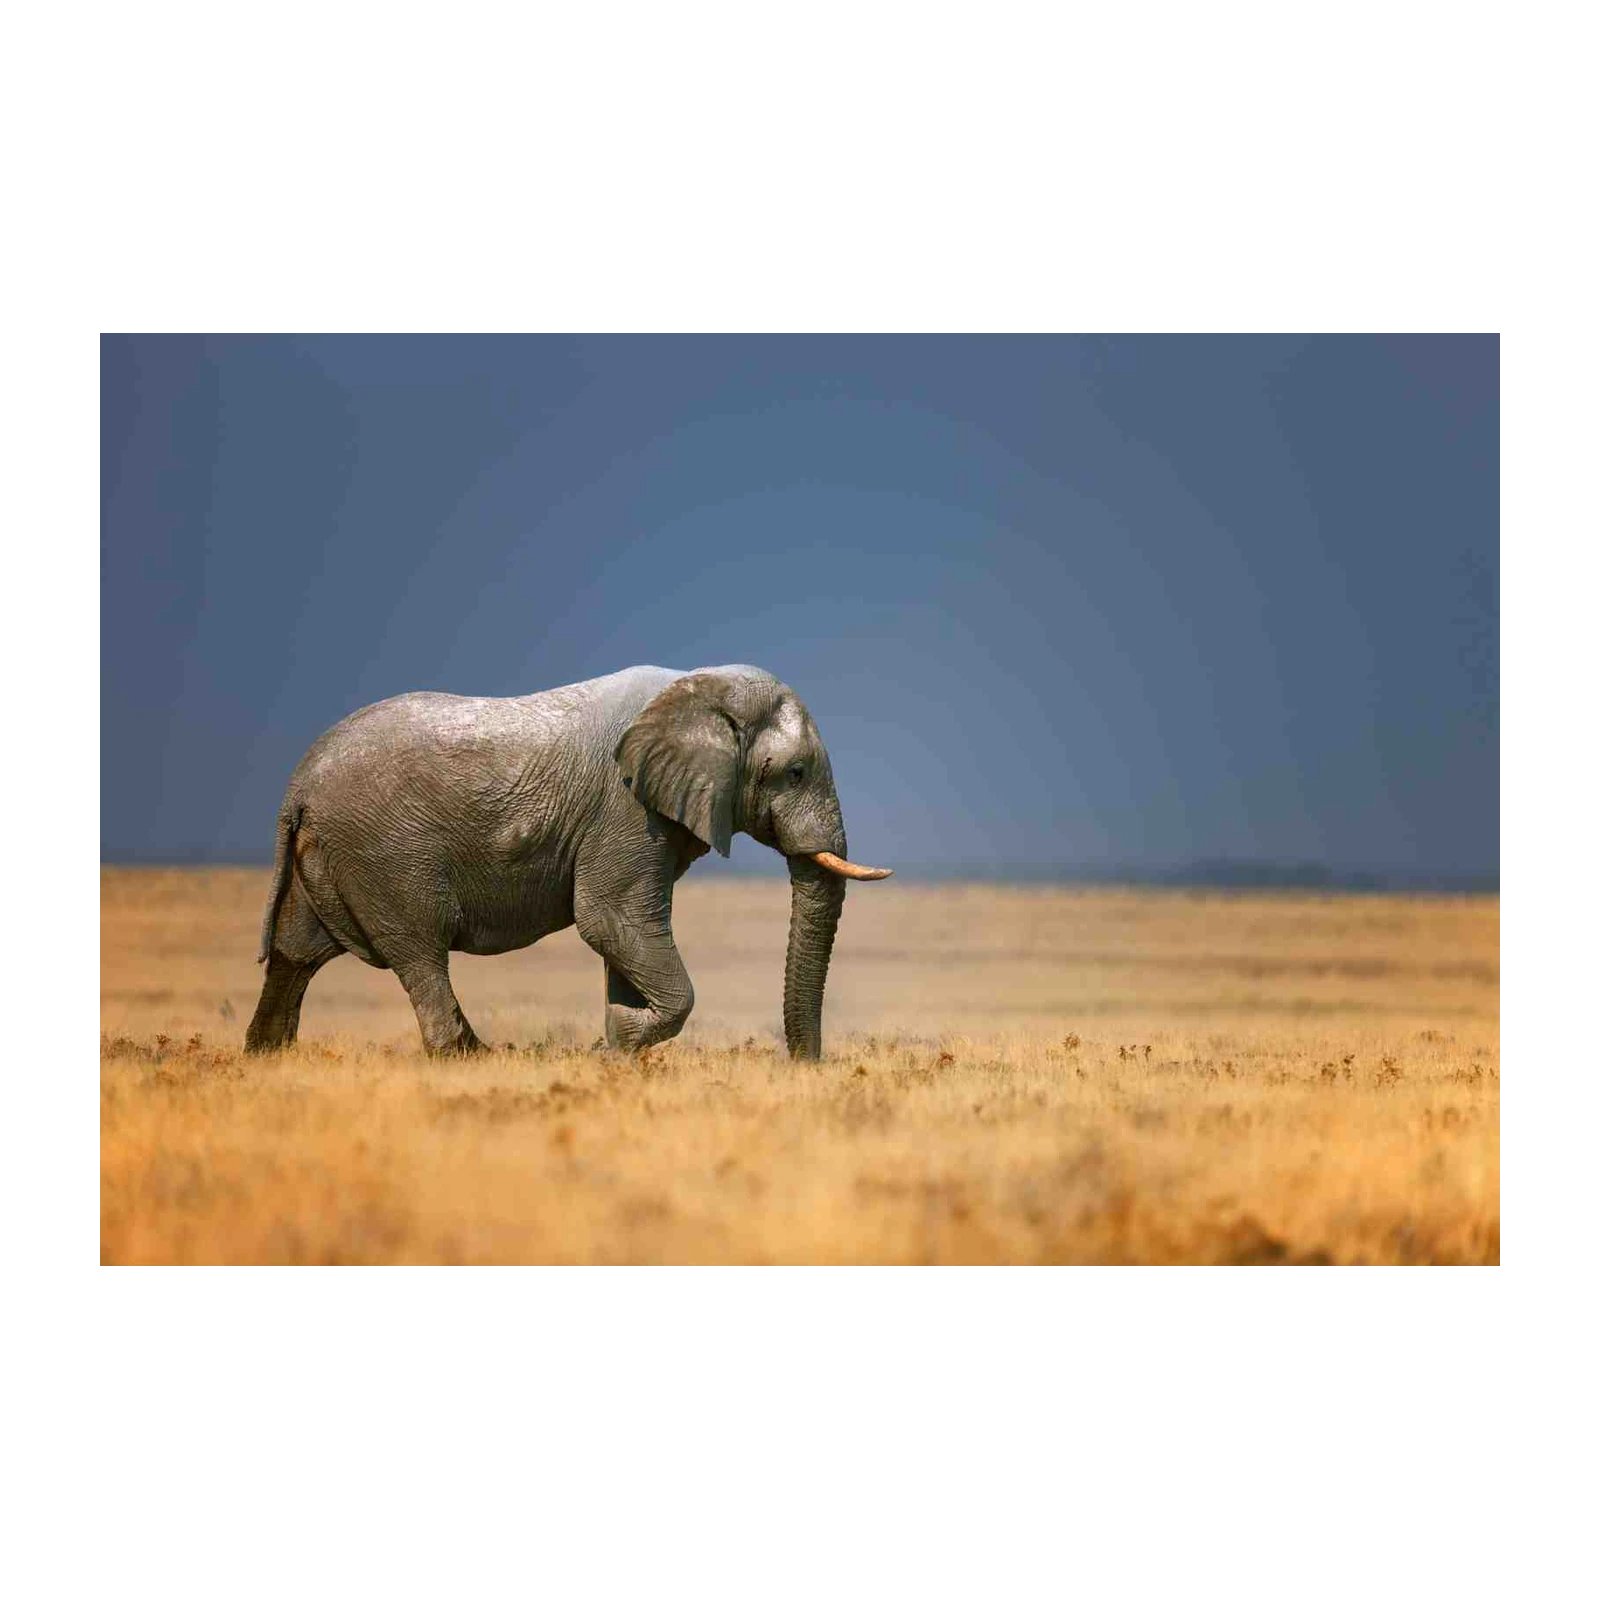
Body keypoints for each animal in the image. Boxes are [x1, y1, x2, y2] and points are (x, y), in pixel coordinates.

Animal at [244, 665, 891, 1060]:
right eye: (796, 773)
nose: (805, 1068)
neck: (699, 688)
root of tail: (298, 784)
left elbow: (624, 934)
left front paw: (617, 1048)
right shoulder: (624, 807)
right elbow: (609, 920)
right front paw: (616, 1044)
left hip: (330, 853)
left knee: (297, 952)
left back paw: (268, 1057)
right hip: (386, 853)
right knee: (419, 951)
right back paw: (471, 1059)